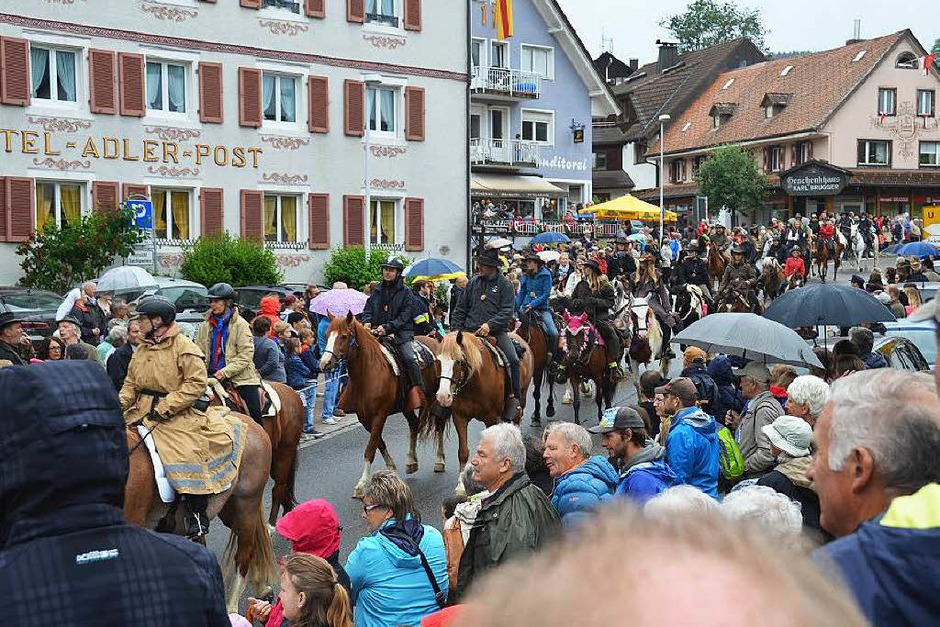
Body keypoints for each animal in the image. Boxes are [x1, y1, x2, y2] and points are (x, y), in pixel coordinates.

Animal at [124, 412, 275, 612]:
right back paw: (261, 587)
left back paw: (232, 607)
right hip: (230, 509)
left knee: (245, 552)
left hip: (247, 503)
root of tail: (251, 423)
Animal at [319, 312, 445, 498]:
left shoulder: (380, 415)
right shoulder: (364, 418)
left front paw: (362, 483)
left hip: (438, 398)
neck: (367, 374)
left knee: (439, 426)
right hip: (406, 405)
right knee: (414, 425)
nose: (325, 363)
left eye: (343, 336)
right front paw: (391, 468)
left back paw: (439, 460)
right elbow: (378, 442)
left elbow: (370, 448)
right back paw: (411, 461)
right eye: (327, 335)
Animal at [435, 331, 533, 491]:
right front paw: (461, 485)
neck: (473, 384)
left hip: (522, 399)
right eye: (438, 361)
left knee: (517, 421)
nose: (443, 396)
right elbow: (463, 452)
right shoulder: (459, 417)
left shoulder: (491, 418)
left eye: (458, 362)